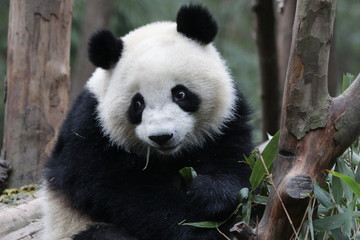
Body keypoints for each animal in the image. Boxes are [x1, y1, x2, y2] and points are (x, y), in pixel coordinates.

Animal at [41, 4, 253, 240]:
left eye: (180, 93)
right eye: (138, 103)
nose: (162, 136)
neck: (169, 156)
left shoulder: (226, 119)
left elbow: (234, 159)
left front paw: (211, 194)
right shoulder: (91, 136)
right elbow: (131, 195)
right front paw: (199, 229)